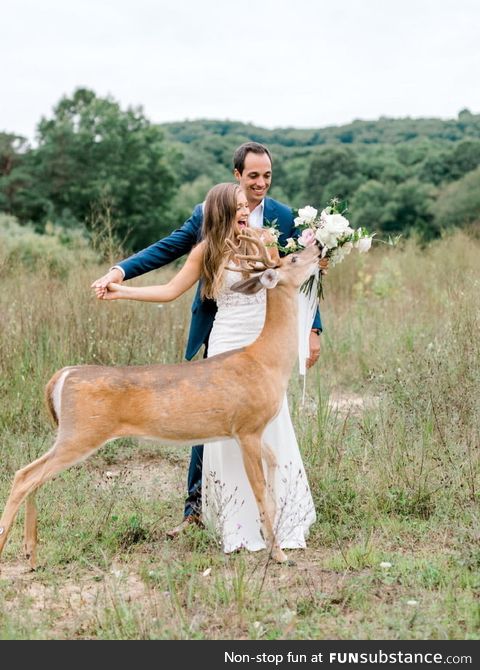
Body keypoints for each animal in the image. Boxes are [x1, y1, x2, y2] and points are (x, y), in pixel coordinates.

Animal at [0, 234, 320, 568]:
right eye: (293, 259)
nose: (320, 247)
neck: (266, 360)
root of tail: (63, 375)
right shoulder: (246, 427)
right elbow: (258, 489)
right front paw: (278, 552)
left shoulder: (252, 431)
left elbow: (274, 467)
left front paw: (275, 542)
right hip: (81, 432)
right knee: (25, 476)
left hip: (72, 433)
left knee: (32, 475)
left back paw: (31, 553)